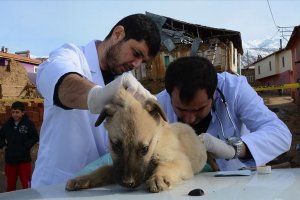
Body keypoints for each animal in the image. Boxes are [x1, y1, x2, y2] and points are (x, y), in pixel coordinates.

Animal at [65, 87, 206, 192]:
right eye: (115, 146)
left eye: (145, 149)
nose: (128, 183)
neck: (156, 145)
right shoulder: (116, 169)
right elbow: (104, 169)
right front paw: (83, 179)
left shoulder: (181, 161)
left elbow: (167, 165)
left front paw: (158, 177)